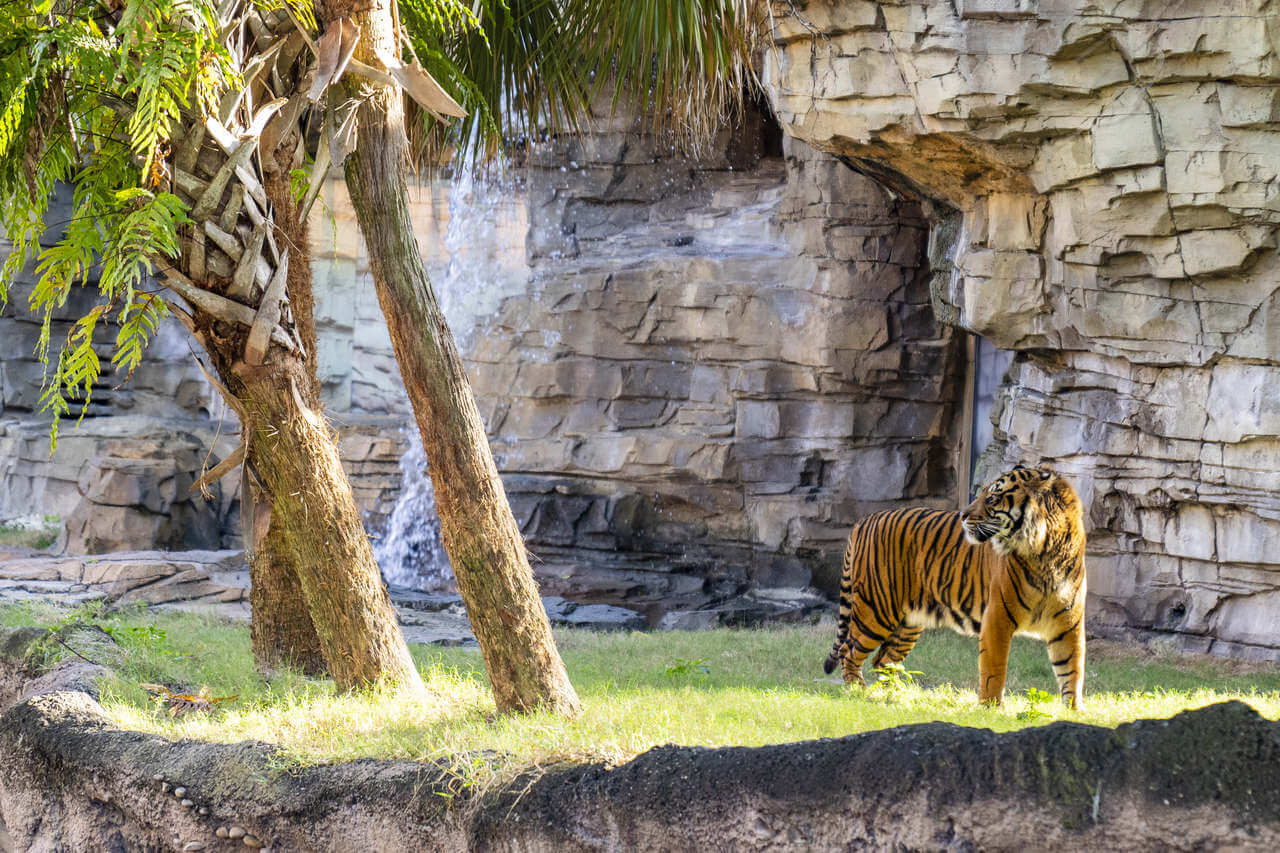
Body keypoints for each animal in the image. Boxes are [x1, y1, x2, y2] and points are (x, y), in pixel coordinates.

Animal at [824, 461, 1085, 706]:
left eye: (992, 498)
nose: (962, 515)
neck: (1047, 551)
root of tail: (865, 519)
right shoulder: (998, 617)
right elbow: (994, 669)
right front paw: (991, 708)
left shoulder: (1067, 623)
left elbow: (1072, 669)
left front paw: (1073, 710)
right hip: (877, 610)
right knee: (849, 651)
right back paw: (858, 692)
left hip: (908, 622)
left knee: (883, 660)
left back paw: (898, 695)